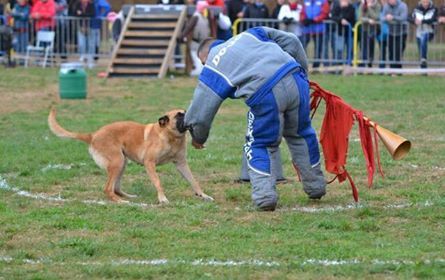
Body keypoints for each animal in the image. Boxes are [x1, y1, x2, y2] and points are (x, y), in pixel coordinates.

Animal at [48, 109, 213, 203]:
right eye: (179, 115)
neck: (170, 137)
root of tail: (93, 135)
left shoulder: (181, 163)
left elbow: (194, 181)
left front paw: (203, 195)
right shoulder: (149, 163)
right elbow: (158, 182)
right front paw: (162, 198)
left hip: (122, 163)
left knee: (115, 188)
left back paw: (128, 197)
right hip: (117, 162)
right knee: (108, 189)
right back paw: (120, 202)